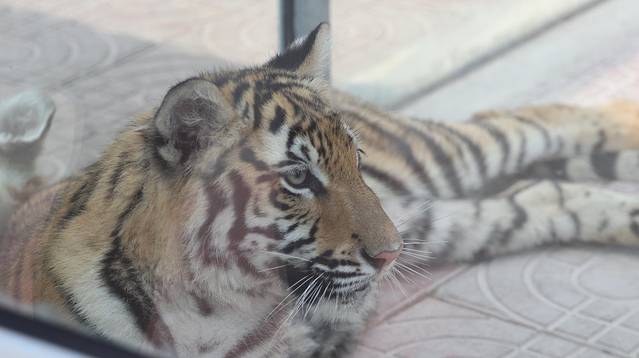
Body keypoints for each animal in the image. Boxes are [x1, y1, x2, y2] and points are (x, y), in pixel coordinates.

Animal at [3, 23, 639, 358]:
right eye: (298, 178)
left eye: (355, 161)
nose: (389, 255)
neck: (205, 310)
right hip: (449, 218)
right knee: (542, 194)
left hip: (441, 157)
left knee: (537, 117)